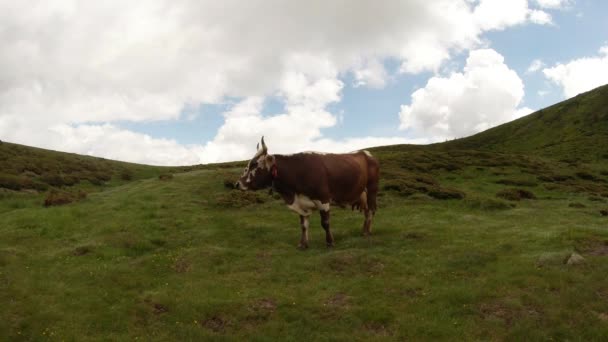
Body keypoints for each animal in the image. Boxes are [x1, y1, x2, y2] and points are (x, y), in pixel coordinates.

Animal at [234, 136, 380, 248]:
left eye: (254, 165)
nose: (237, 184)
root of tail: (366, 153)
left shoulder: (323, 199)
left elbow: (325, 223)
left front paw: (330, 242)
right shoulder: (301, 203)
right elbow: (303, 225)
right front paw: (303, 244)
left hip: (372, 190)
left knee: (371, 211)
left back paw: (367, 232)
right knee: (367, 211)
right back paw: (364, 230)